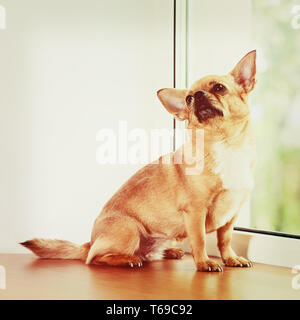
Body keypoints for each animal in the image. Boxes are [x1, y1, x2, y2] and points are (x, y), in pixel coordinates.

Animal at [21, 51, 256, 272]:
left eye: (219, 88)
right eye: (188, 99)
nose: (196, 95)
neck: (226, 145)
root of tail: (89, 243)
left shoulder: (231, 217)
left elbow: (224, 240)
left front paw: (231, 258)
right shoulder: (195, 212)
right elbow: (199, 241)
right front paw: (204, 262)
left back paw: (168, 252)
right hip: (130, 229)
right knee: (95, 259)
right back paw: (127, 259)